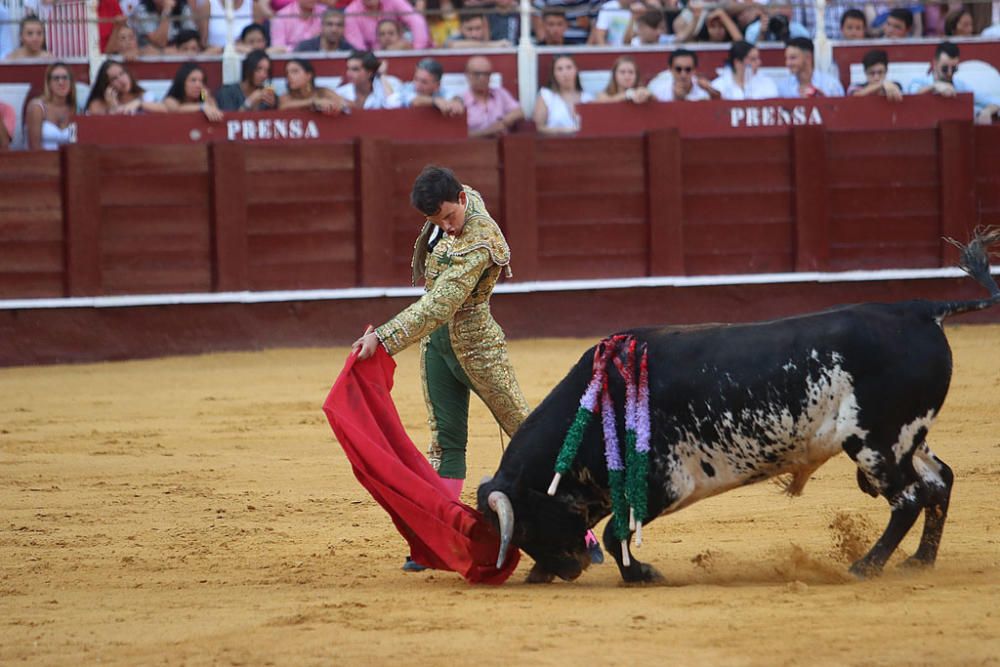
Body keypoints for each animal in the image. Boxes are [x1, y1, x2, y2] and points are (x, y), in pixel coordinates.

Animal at [476, 231, 1000, 584]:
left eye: (525, 523)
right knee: (939, 482)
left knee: (909, 497)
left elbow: (616, 532)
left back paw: (864, 566)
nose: (563, 570)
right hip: (907, 437)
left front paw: (643, 574)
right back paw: (919, 562)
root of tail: (921, 309)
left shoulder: (664, 481)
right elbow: (615, 530)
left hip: (878, 442)